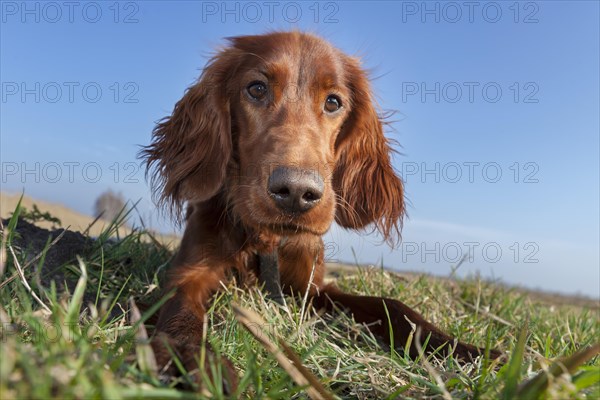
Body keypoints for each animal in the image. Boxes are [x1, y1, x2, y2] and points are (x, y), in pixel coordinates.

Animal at [141, 30, 496, 390]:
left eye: (333, 102)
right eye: (257, 88)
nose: (297, 193)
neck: (269, 242)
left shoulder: (313, 291)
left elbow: (393, 306)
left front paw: (464, 350)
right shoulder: (190, 274)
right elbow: (181, 313)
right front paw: (189, 361)